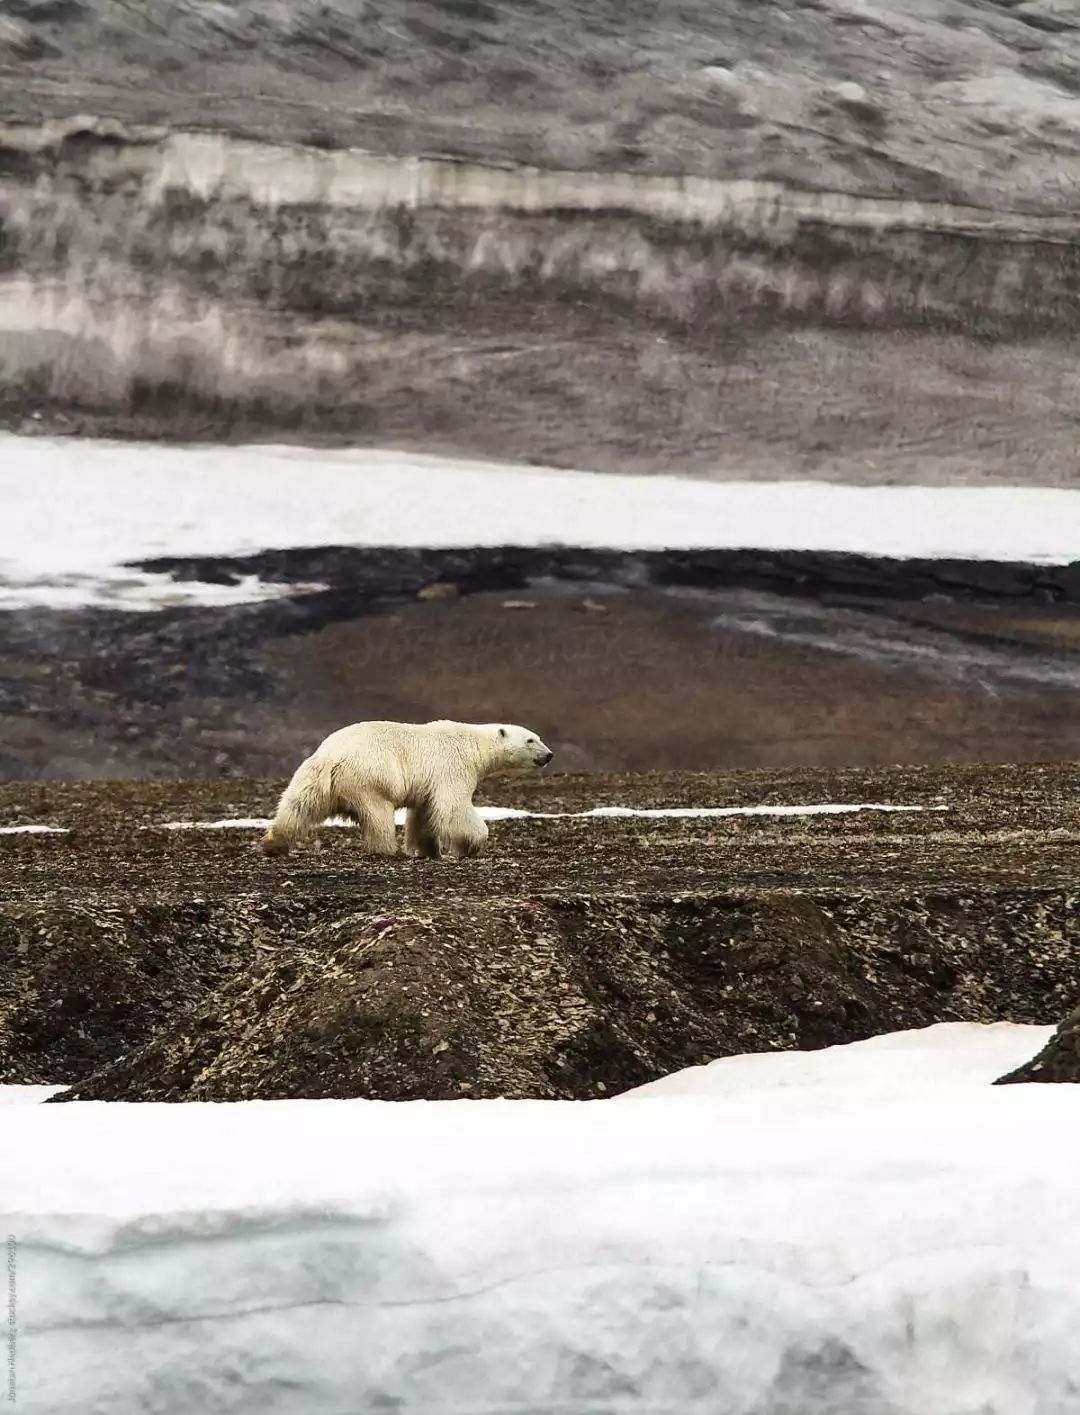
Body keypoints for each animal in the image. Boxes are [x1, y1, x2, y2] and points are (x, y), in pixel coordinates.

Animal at [259, 718, 552, 860]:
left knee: (297, 806)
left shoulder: (428, 784)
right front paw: (474, 844)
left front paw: (430, 850)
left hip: (311, 775)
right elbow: (453, 807)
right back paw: (388, 850)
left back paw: (274, 843)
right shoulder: (452, 766)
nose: (549, 755)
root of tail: (332, 757)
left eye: (538, 737)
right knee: (378, 814)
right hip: (371, 777)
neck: (474, 745)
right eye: (531, 739)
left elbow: (424, 813)